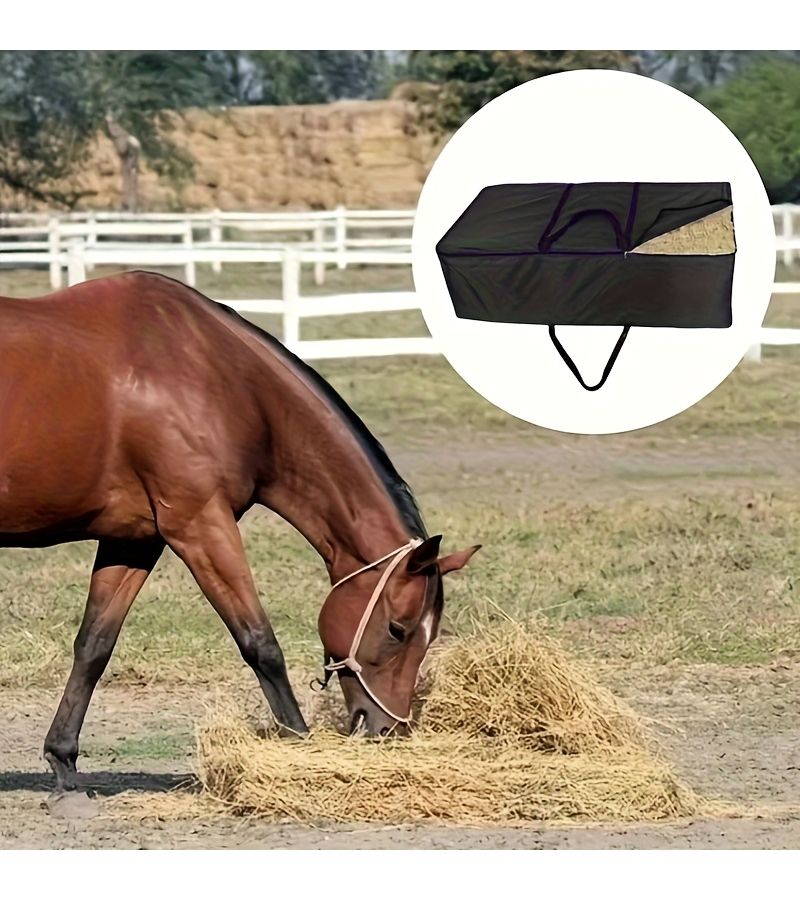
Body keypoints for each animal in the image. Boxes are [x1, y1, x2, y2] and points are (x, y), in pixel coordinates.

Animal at [0, 270, 480, 793]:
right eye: (398, 629)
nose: (387, 729)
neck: (217, 376)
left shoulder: (134, 540)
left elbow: (94, 645)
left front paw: (63, 760)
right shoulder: (201, 526)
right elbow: (259, 643)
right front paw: (298, 749)